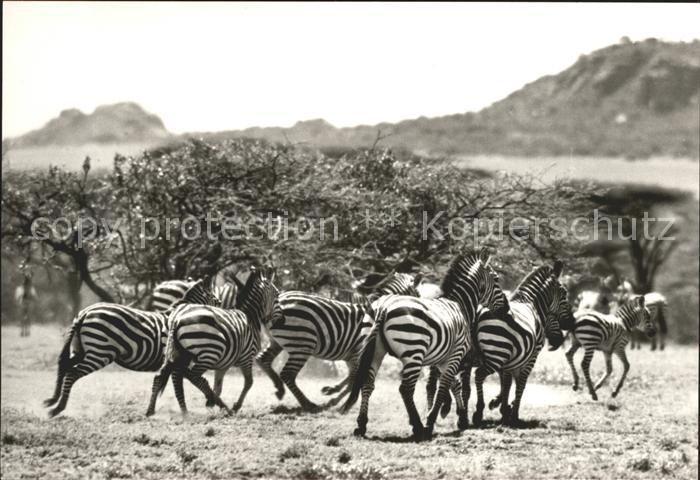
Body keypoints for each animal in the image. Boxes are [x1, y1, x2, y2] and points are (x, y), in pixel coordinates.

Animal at [44, 279, 219, 417]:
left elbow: (170, 383)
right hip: (100, 353)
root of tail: (85, 312)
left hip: (82, 350)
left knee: (64, 365)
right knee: (72, 373)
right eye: (215, 300)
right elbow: (179, 385)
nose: (221, 309)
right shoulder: (179, 360)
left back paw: (53, 400)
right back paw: (59, 408)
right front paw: (189, 411)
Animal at [146, 266, 282, 416]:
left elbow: (219, 386)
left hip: (177, 352)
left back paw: (151, 410)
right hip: (209, 353)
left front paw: (212, 402)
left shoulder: (223, 364)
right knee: (190, 375)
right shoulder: (247, 357)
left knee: (162, 376)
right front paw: (235, 406)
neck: (250, 317)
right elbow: (249, 382)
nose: (282, 320)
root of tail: (176, 319)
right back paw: (221, 405)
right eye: (277, 295)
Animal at [256, 272, 423, 412]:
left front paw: (332, 392)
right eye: (418, 295)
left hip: (277, 342)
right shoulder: (360, 352)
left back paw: (279, 389)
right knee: (287, 374)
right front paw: (337, 400)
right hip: (303, 345)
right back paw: (308, 404)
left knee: (263, 359)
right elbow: (354, 379)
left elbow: (351, 378)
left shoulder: (353, 355)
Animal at [340, 248, 506, 441]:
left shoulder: (444, 359)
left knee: (368, 383)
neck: (460, 305)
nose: (507, 308)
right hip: (414, 353)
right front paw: (431, 421)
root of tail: (383, 306)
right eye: (496, 279)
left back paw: (361, 425)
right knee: (405, 389)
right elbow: (443, 387)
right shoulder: (455, 354)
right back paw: (418, 427)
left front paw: (462, 418)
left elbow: (453, 385)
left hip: (375, 350)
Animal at [465, 261, 575, 427]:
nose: (572, 322)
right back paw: (478, 412)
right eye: (564, 293)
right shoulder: (530, 356)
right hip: (496, 353)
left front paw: (504, 408)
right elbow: (520, 384)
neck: (532, 304)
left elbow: (507, 383)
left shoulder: (511, 358)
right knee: (478, 375)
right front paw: (513, 413)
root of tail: (478, 311)